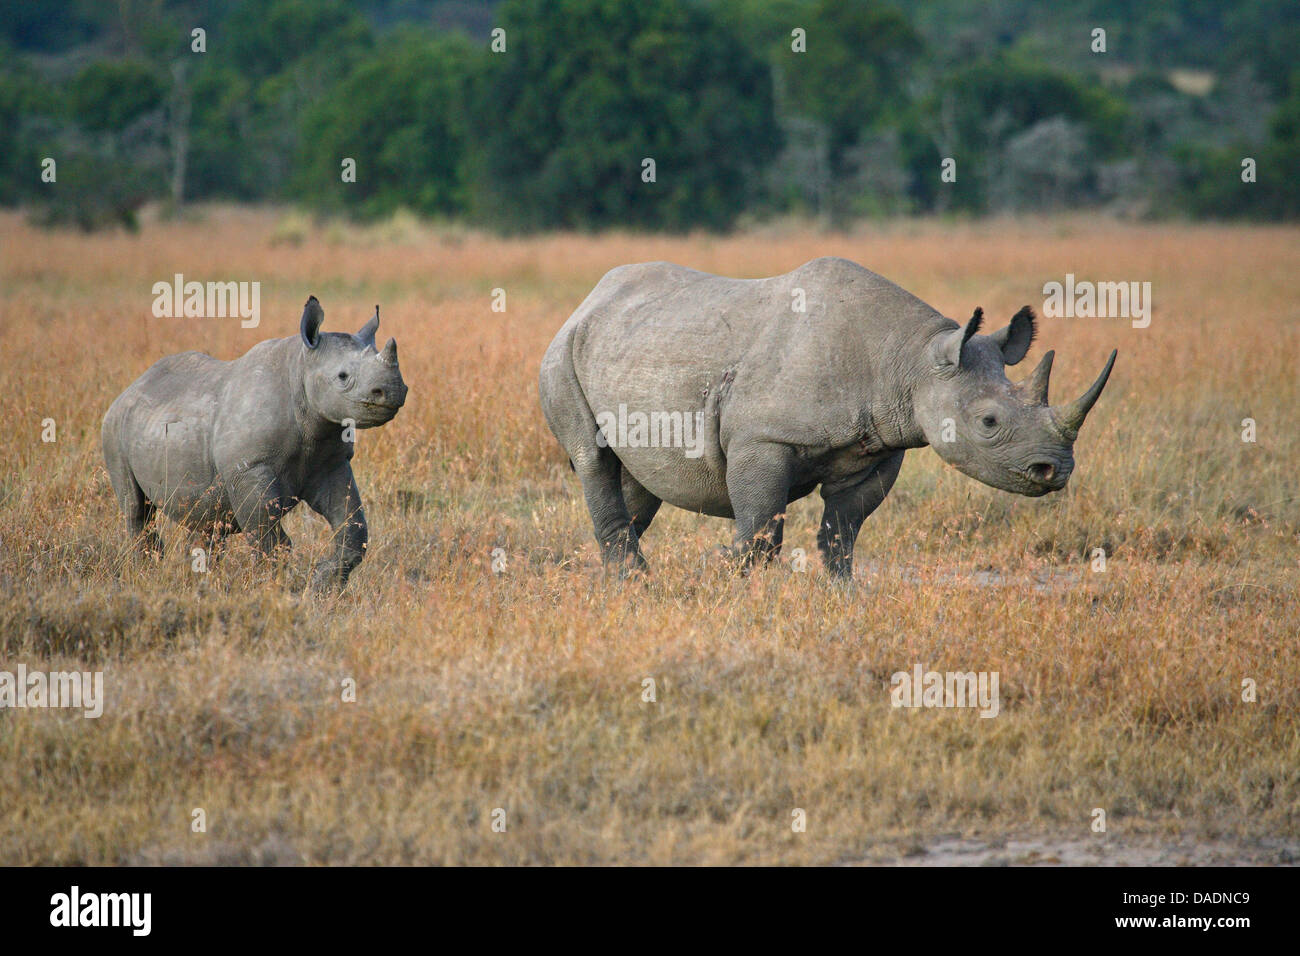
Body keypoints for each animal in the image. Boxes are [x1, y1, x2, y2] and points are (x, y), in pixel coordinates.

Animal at [102, 296, 408, 591]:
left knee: (206, 520)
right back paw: (146, 574)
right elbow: (269, 538)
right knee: (136, 509)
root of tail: (132, 386)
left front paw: (324, 586)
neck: (301, 370)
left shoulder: (331, 462)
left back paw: (199, 581)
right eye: (343, 377)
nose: (393, 390)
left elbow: (353, 528)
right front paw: (276, 588)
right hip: (115, 426)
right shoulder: (249, 466)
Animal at [539, 257, 1116, 577]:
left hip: (628, 340)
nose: (1055, 471)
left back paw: (625, 584)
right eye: (989, 423)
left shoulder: (880, 446)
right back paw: (635, 581)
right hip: (562, 350)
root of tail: (589, 298)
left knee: (637, 478)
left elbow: (844, 532)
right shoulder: (763, 439)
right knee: (593, 457)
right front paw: (721, 578)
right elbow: (760, 530)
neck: (911, 361)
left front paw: (844, 595)